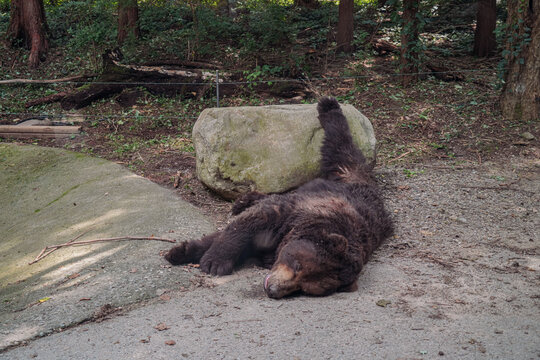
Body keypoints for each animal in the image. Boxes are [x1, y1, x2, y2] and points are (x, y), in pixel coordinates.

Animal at [165, 97, 392, 300]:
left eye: (305, 288)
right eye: (298, 265)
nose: (272, 289)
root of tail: (370, 186)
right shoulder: (293, 213)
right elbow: (244, 226)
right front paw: (206, 259)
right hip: (346, 172)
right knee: (340, 145)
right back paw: (328, 104)